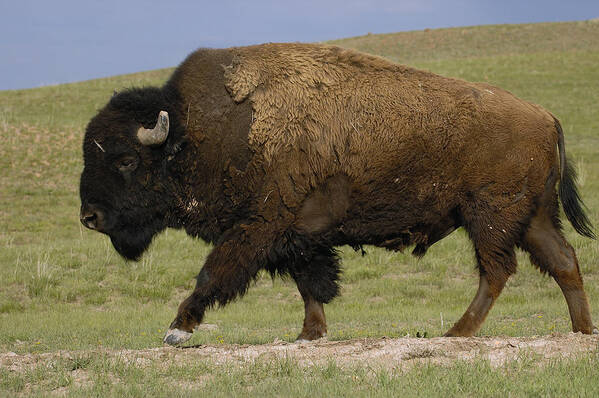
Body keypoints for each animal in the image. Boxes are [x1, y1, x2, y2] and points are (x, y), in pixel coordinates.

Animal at [78, 42, 596, 344]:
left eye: (125, 160)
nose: (89, 218)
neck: (198, 131)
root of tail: (545, 115)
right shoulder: (297, 235)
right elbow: (310, 283)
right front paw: (310, 334)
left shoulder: (257, 227)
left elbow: (214, 273)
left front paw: (177, 329)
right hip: (532, 217)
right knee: (562, 261)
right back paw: (580, 332)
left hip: (489, 216)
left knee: (497, 270)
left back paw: (457, 332)